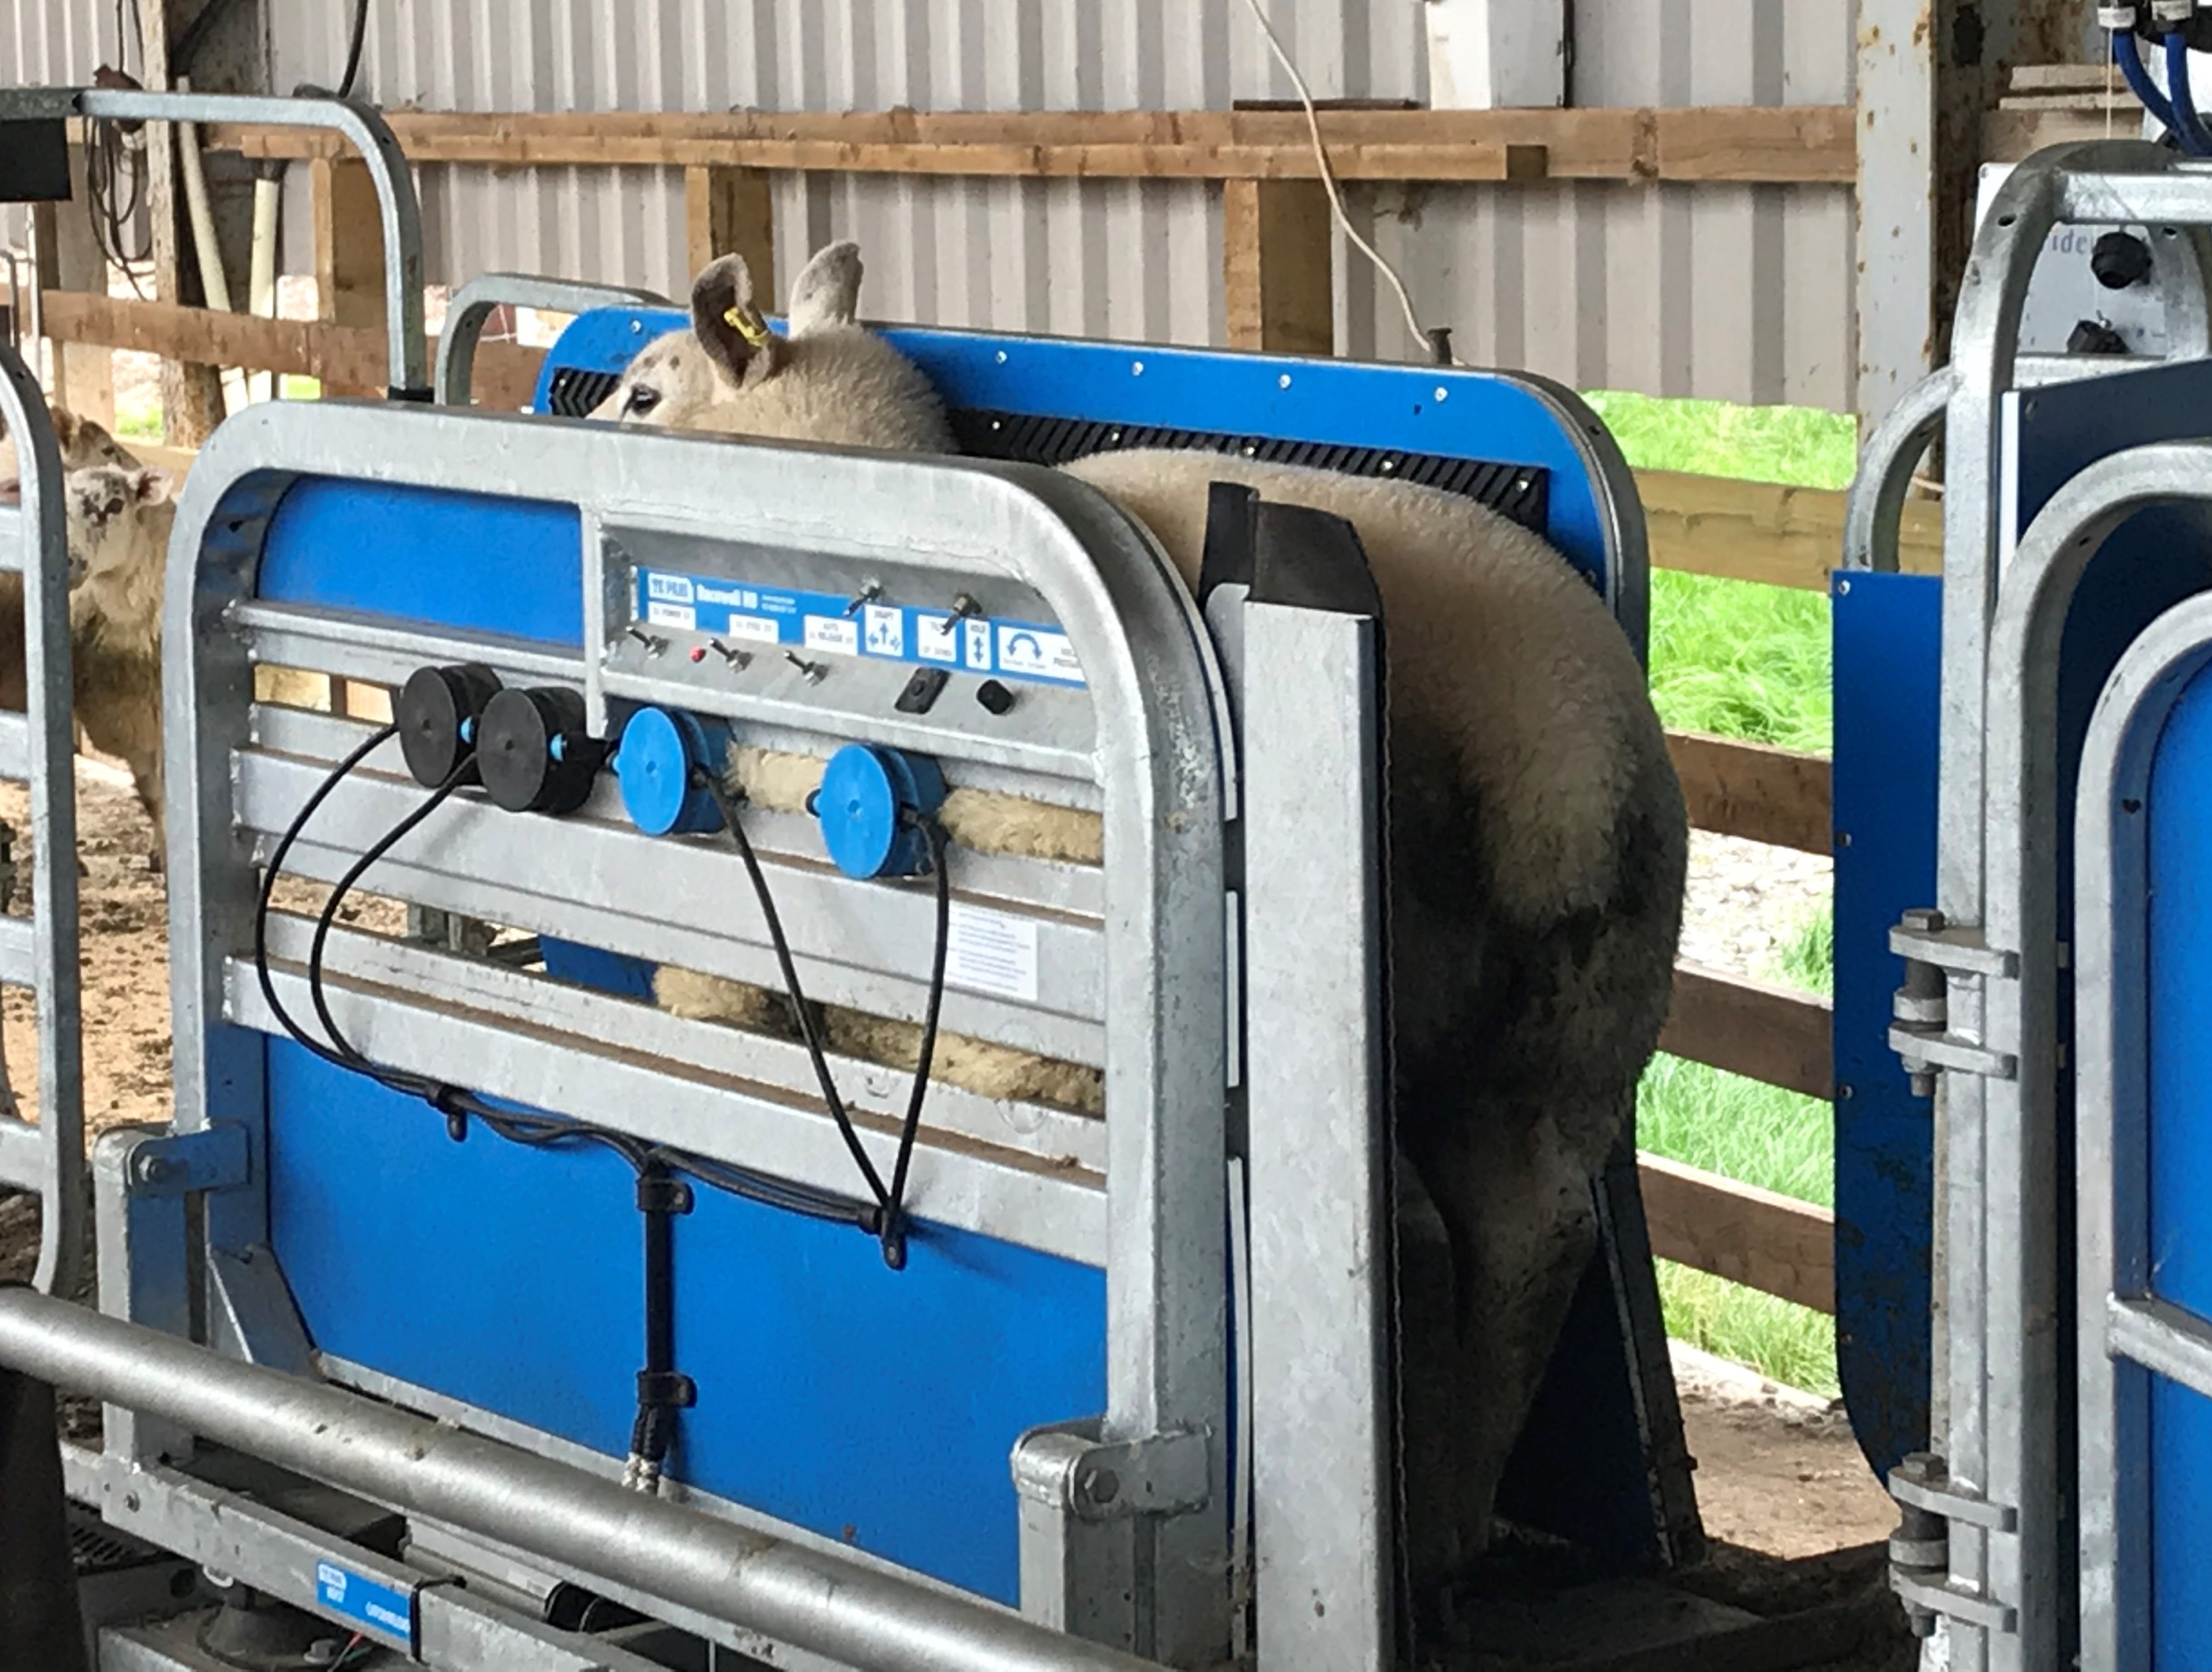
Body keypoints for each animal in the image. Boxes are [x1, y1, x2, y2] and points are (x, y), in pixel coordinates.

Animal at [597, 239, 1681, 1610]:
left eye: (645, 395)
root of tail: (1556, 766)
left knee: (1415, 1238)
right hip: (1569, 1032)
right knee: (1531, 1234)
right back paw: (1452, 1520)